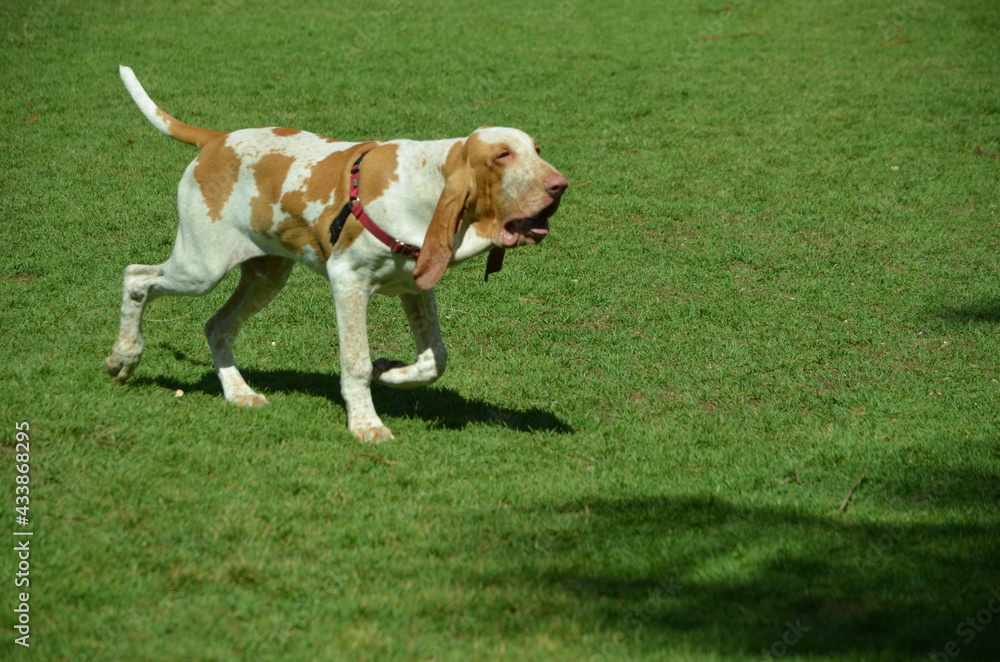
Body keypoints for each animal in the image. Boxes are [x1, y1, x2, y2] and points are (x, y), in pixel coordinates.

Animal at [107, 67, 572, 444]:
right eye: (503, 155)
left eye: (537, 150)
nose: (560, 186)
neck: (428, 180)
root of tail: (217, 140)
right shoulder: (348, 280)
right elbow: (356, 362)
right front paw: (366, 424)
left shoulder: (416, 287)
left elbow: (434, 359)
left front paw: (391, 371)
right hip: (202, 268)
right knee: (137, 277)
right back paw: (125, 356)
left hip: (266, 275)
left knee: (217, 327)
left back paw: (238, 392)